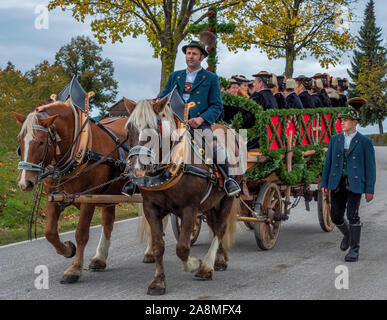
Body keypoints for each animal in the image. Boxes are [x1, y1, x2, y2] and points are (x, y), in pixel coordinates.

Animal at [12, 99, 133, 282]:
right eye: (20, 141)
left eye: (41, 142)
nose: (24, 183)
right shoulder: (54, 196)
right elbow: (50, 232)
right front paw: (68, 249)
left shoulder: (88, 198)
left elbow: (81, 233)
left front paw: (74, 269)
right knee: (108, 222)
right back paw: (99, 259)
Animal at [124, 97, 246, 296]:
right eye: (129, 129)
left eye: (153, 129)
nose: (136, 169)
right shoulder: (151, 208)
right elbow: (158, 246)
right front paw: (158, 282)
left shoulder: (189, 209)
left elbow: (182, 248)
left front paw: (195, 264)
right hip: (210, 202)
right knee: (214, 226)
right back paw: (220, 259)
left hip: (226, 198)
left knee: (220, 228)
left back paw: (207, 266)